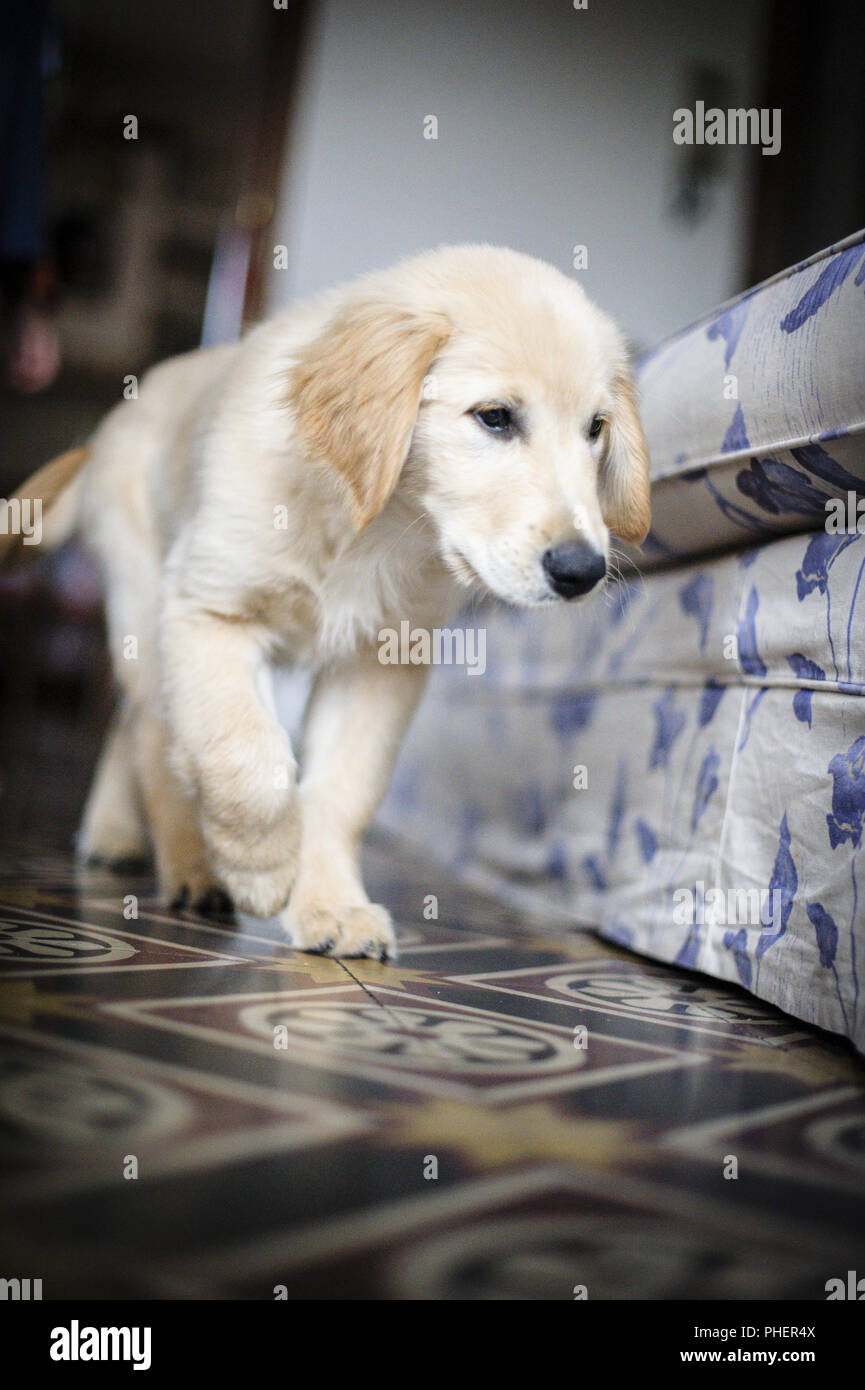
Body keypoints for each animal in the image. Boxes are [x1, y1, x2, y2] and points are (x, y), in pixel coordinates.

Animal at [1, 247, 650, 956]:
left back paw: (114, 834)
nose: (583, 570)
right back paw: (191, 865)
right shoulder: (209, 611)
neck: (374, 525)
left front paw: (332, 906)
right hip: (143, 600)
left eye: (596, 429)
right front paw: (259, 868)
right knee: (152, 735)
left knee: (135, 726)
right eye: (495, 417)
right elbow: (244, 754)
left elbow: (343, 790)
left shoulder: (381, 662)